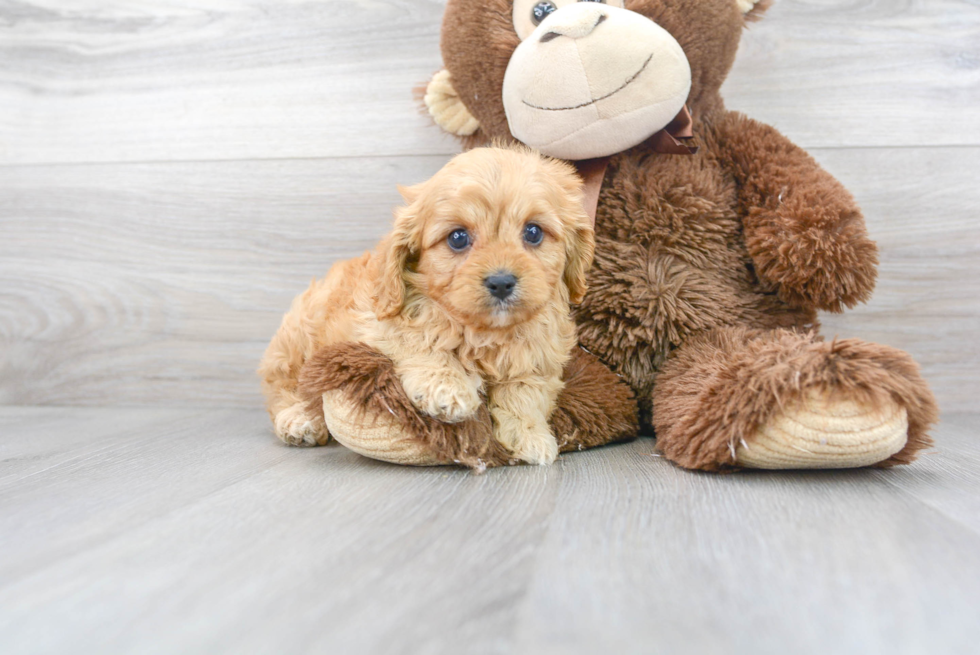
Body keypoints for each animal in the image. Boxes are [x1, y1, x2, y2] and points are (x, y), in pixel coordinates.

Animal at [256, 147, 592, 466]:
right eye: (458, 238)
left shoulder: (539, 355)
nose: (501, 282)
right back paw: (300, 419)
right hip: (298, 337)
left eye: (533, 232)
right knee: (286, 386)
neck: (483, 331)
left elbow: (525, 391)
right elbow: (421, 340)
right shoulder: (377, 321)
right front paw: (447, 389)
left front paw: (530, 435)